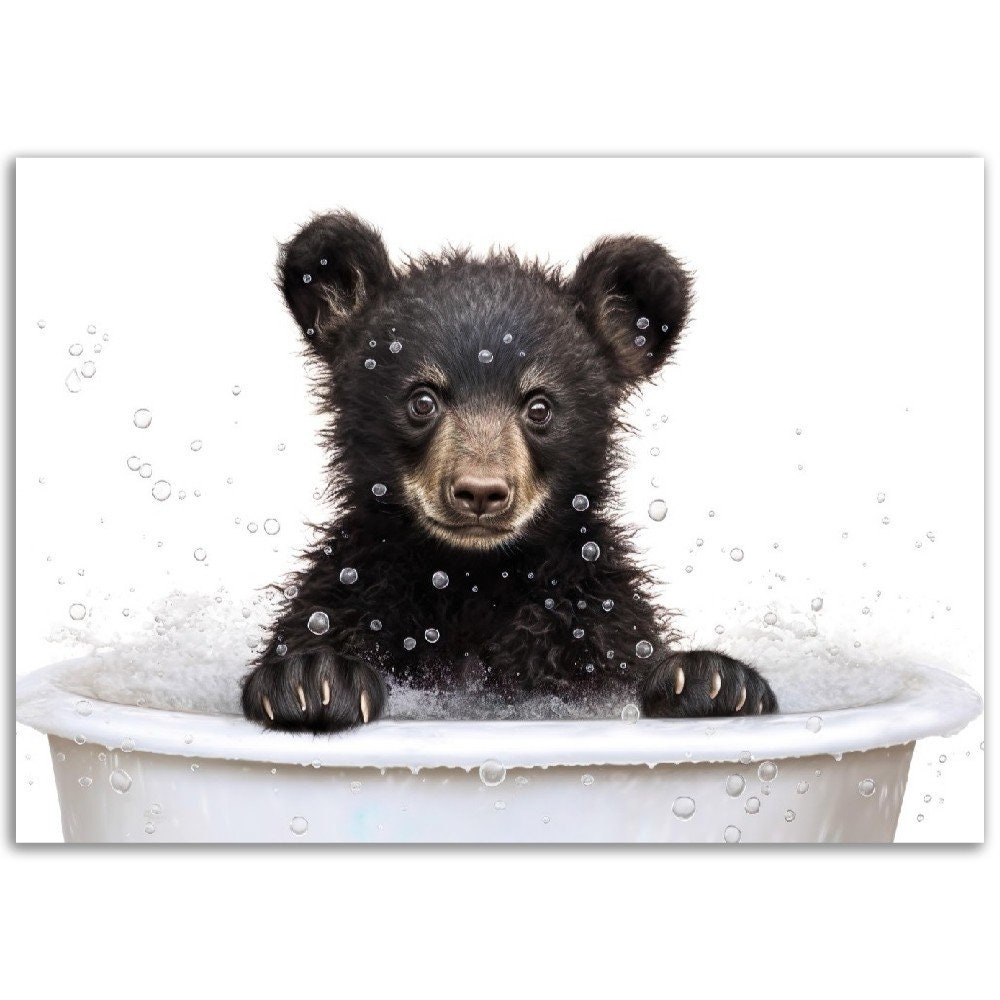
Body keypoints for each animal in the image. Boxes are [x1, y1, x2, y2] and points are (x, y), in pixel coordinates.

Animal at [240, 211, 778, 732]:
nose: (480, 492)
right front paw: (313, 678)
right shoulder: (353, 589)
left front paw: (712, 680)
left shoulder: (590, 618)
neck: (470, 579)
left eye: (539, 406)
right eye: (422, 400)